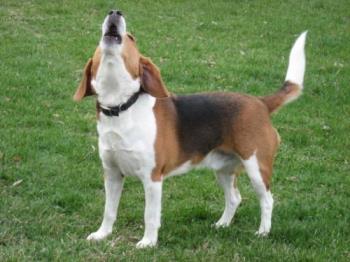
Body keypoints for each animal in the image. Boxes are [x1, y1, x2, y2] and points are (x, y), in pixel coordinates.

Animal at [74, 10, 306, 248]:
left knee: (267, 200)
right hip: (223, 169)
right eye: (98, 39)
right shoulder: (112, 174)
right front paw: (102, 234)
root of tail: (261, 103)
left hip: (256, 168)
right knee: (234, 198)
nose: (115, 12)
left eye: (131, 37)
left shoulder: (152, 178)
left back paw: (263, 232)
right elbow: (109, 211)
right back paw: (222, 224)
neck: (121, 108)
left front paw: (148, 242)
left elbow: (150, 215)